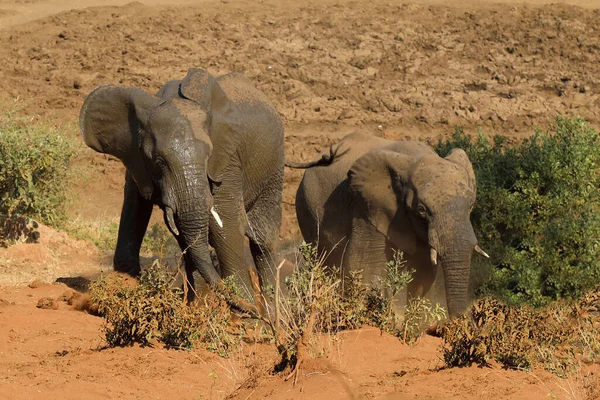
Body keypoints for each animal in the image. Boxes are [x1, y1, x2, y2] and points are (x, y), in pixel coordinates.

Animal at [288, 133, 490, 318]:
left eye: (471, 205)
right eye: (422, 210)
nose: (459, 321)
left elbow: (424, 273)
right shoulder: (366, 206)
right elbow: (365, 265)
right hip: (307, 208)